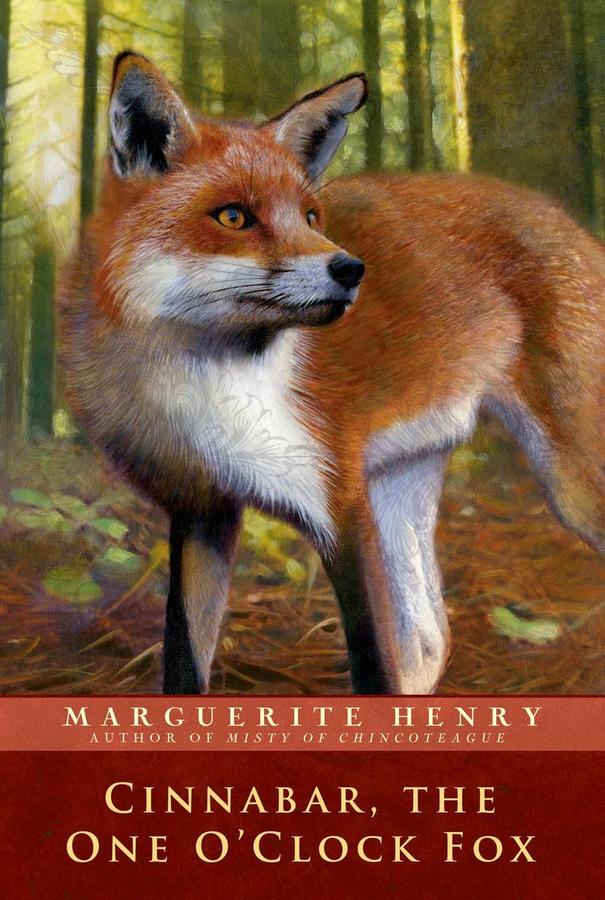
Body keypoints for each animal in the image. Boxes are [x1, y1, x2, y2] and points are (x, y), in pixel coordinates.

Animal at [60, 51, 605, 695]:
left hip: (572, 485)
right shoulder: (201, 512)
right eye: (234, 216)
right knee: (431, 641)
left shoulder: (339, 503)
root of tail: (566, 218)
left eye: (311, 215)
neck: (199, 389)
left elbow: (372, 668)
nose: (350, 269)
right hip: (401, 487)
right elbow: (183, 666)